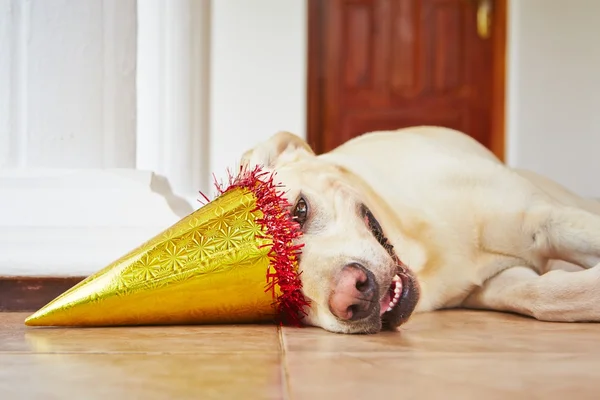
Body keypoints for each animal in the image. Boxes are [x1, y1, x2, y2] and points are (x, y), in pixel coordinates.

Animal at [239, 126, 600, 332]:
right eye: (284, 291)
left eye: (300, 210)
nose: (352, 297)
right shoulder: (499, 280)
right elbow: (546, 295)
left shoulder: (542, 217)